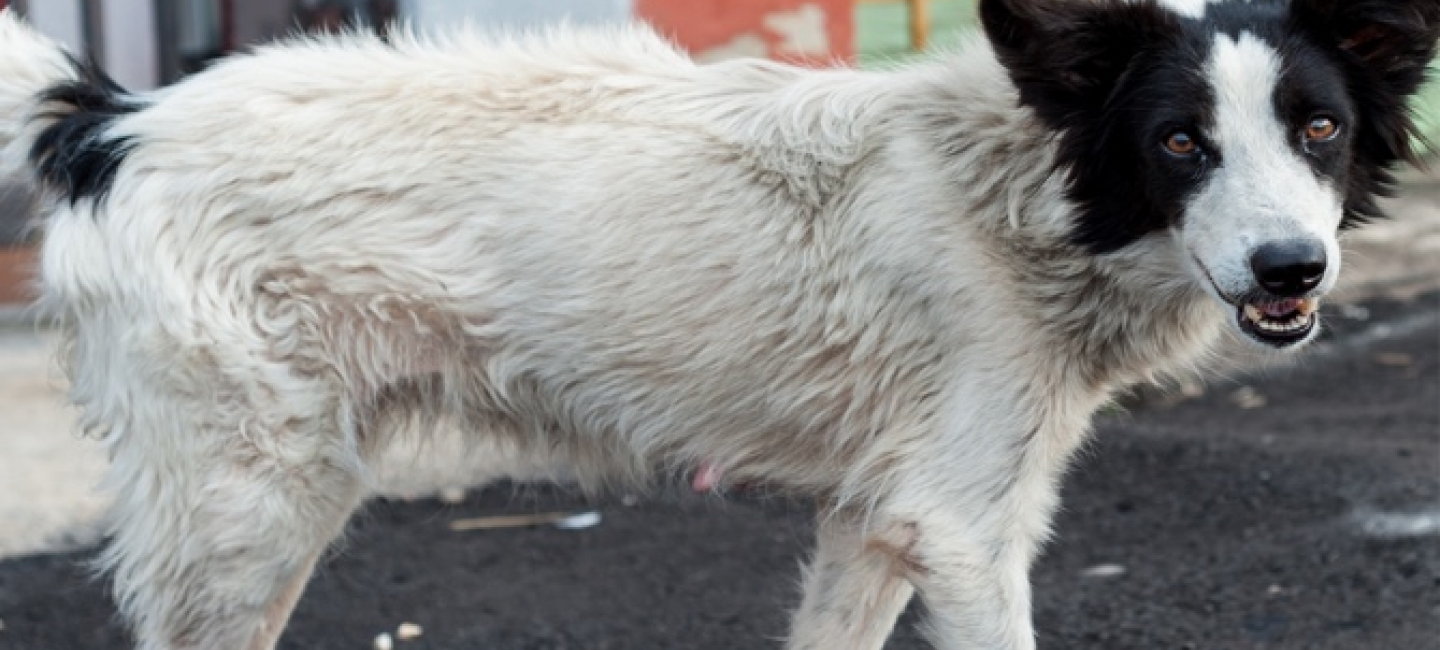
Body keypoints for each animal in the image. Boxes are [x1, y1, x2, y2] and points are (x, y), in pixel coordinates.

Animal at [2, 1, 1440, 650]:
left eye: (1318, 128)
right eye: (1180, 142)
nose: (1292, 266)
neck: (1018, 191)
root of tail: (111, 119)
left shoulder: (879, 516)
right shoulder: (964, 530)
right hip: (248, 513)